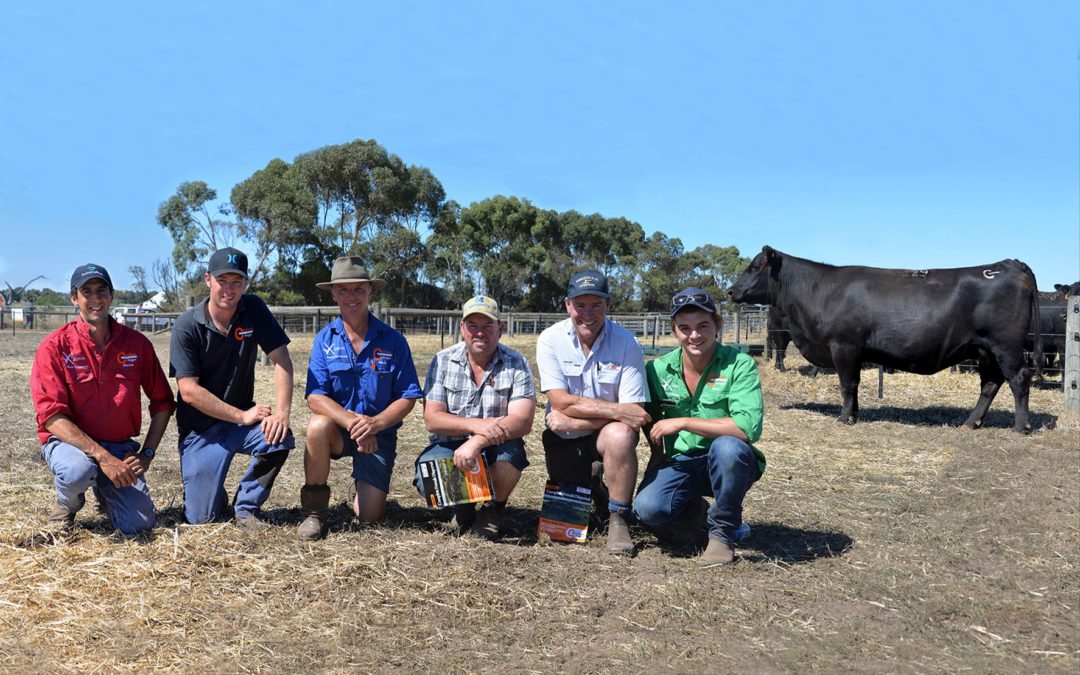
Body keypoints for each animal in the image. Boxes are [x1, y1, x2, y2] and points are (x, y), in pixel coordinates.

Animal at [730, 246, 1041, 432]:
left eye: (755, 266)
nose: (732, 291)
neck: (820, 289)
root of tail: (1009, 263)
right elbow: (853, 386)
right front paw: (854, 414)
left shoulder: (844, 347)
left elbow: (847, 384)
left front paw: (844, 418)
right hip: (985, 350)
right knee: (990, 383)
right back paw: (970, 423)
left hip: (1006, 347)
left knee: (1018, 379)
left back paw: (1021, 426)